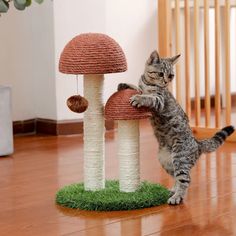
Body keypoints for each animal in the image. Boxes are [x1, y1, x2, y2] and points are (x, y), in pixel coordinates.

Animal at [117, 50, 234, 205]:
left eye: (171, 75)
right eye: (161, 74)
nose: (166, 82)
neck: (149, 83)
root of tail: (197, 143)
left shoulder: (159, 100)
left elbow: (149, 97)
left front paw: (139, 98)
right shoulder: (144, 87)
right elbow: (138, 88)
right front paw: (124, 84)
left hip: (180, 157)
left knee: (185, 179)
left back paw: (177, 197)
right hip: (165, 160)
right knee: (176, 177)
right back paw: (173, 190)